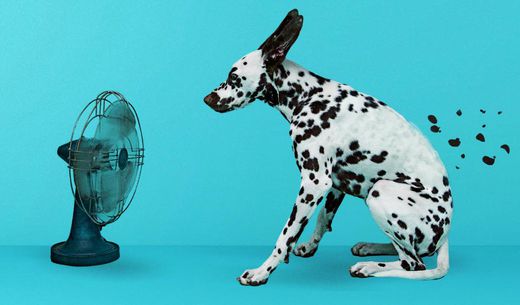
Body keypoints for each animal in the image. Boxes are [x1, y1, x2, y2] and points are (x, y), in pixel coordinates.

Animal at [203, 9, 450, 284]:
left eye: (233, 77)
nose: (207, 99)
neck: (309, 95)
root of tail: (446, 236)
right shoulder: (336, 185)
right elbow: (322, 218)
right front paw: (309, 246)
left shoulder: (314, 183)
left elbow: (285, 235)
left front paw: (261, 271)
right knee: (408, 252)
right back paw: (370, 247)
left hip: (380, 191)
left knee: (412, 263)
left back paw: (368, 266)